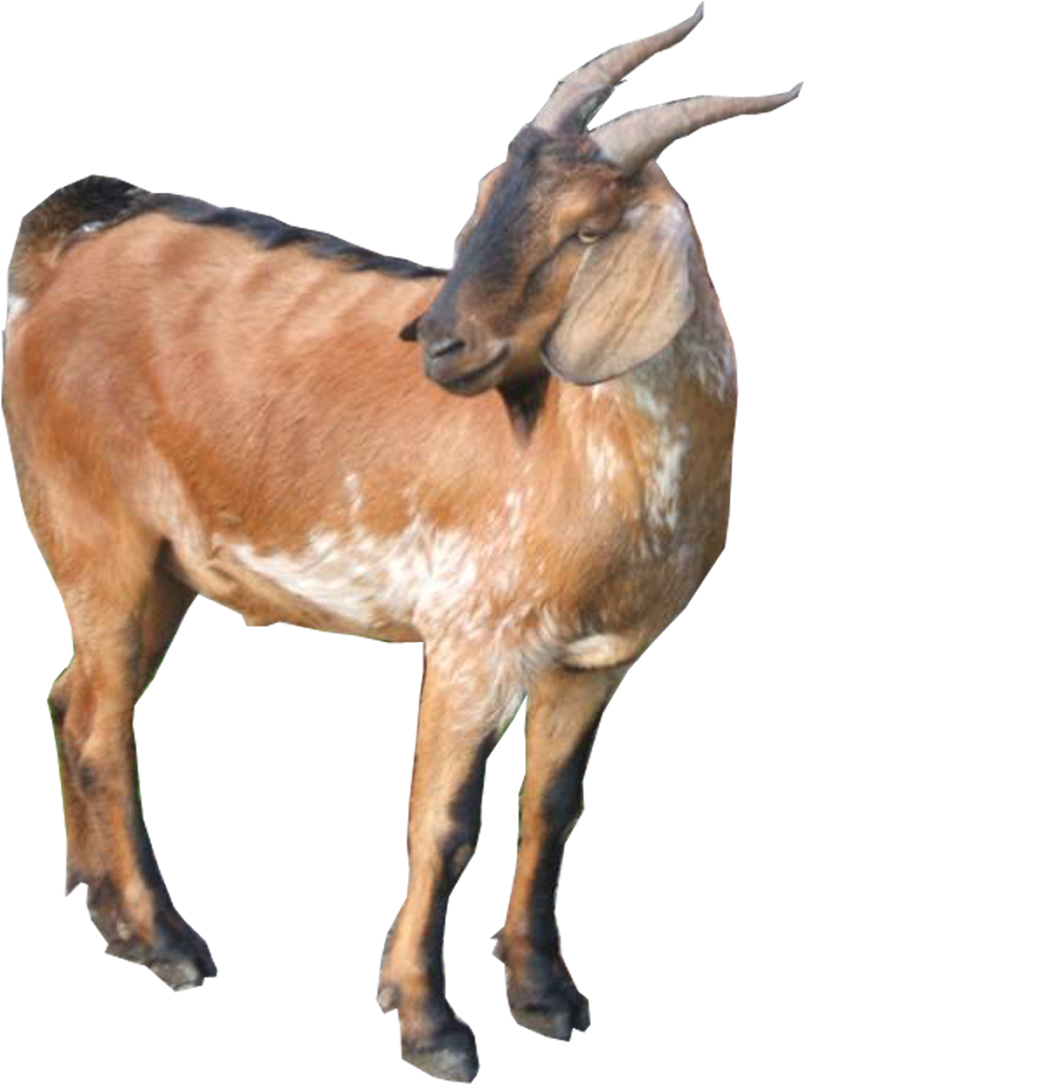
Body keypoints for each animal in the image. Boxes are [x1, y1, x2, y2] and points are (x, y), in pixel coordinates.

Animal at [4, 4, 800, 1080]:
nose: (439, 342)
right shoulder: (473, 639)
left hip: (163, 567)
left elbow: (552, 811)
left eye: (588, 230)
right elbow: (444, 823)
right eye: (484, 195)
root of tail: (66, 253)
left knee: (72, 697)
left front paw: (546, 994)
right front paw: (430, 1023)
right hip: (98, 537)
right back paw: (167, 942)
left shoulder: (595, 661)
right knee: (97, 722)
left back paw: (107, 914)